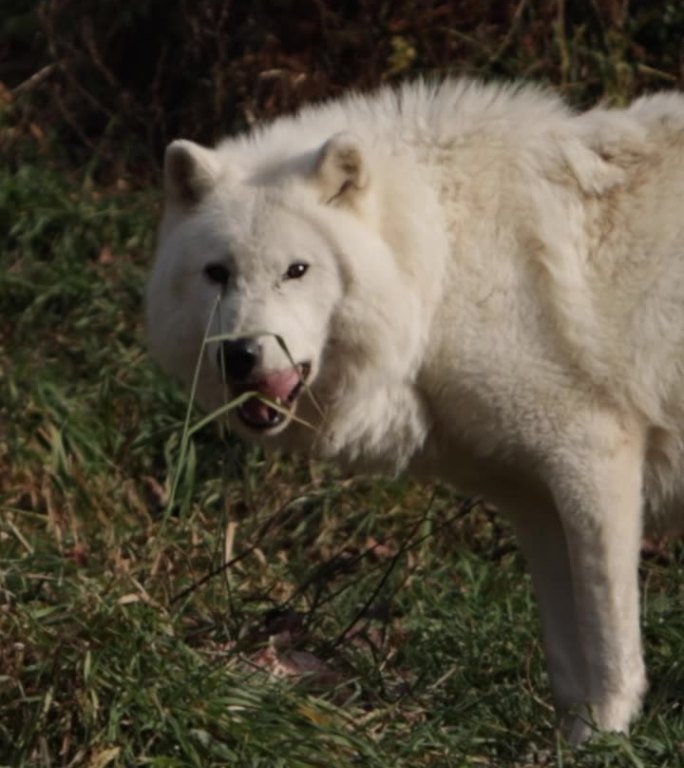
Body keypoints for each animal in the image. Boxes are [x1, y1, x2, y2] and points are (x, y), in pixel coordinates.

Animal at [148, 79, 684, 744]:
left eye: (297, 270)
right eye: (217, 273)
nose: (241, 353)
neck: (443, 259)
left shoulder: (595, 456)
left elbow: (608, 642)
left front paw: (606, 740)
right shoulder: (534, 500)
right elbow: (567, 655)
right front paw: (569, 743)